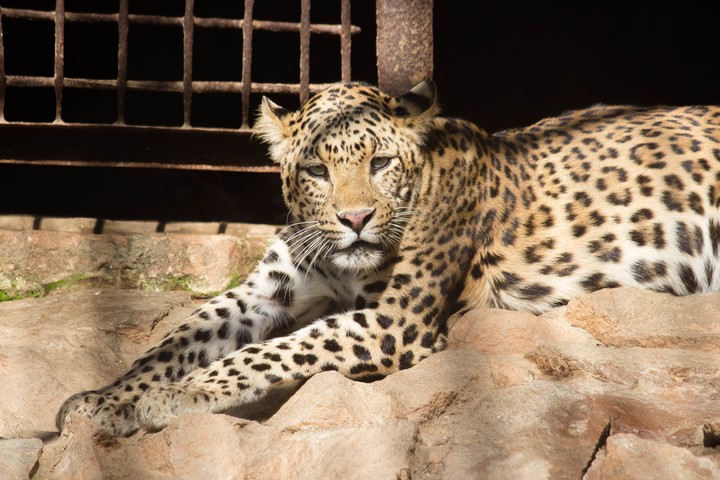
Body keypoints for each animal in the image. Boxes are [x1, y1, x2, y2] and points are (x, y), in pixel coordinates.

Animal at [57, 80, 720, 436]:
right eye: (317, 171)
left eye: (379, 163)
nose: (355, 220)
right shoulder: (265, 291)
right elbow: (178, 337)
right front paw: (103, 400)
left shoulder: (394, 321)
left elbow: (271, 351)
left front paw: (174, 396)